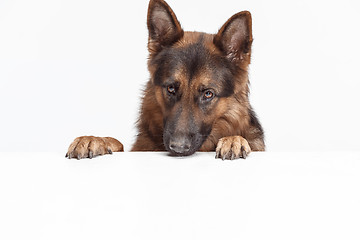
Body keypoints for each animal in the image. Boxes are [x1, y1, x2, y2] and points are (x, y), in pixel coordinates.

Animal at [67, 0, 264, 161]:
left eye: (208, 94)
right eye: (171, 88)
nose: (178, 148)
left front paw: (234, 140)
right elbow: (119, 144)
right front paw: (96, 140)